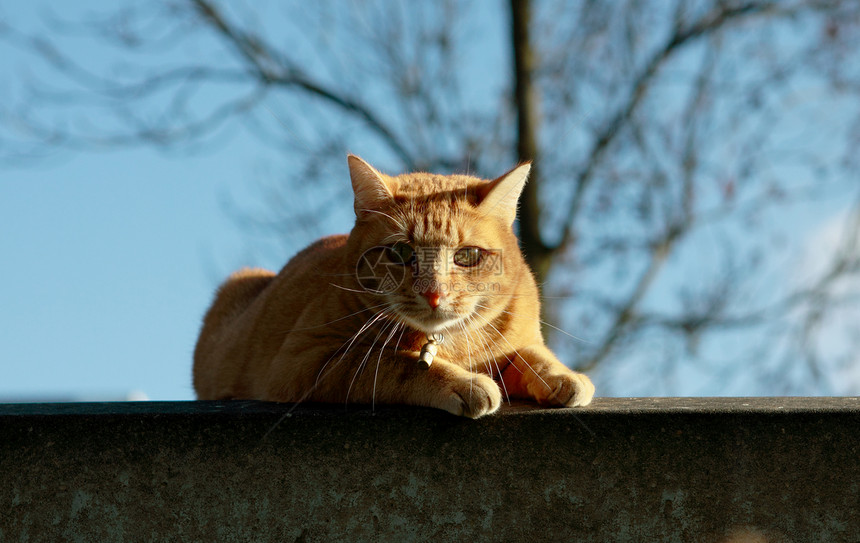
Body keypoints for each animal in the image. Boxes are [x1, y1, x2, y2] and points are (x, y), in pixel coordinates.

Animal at [194, 155, 596, 418]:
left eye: (467, 256)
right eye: (401, 252)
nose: (434, 293)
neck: (449, 344)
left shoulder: (519, 341)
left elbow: (531, 355)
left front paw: (562, 376)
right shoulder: (308, 360)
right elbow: (394, 362)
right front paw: (465, 382)